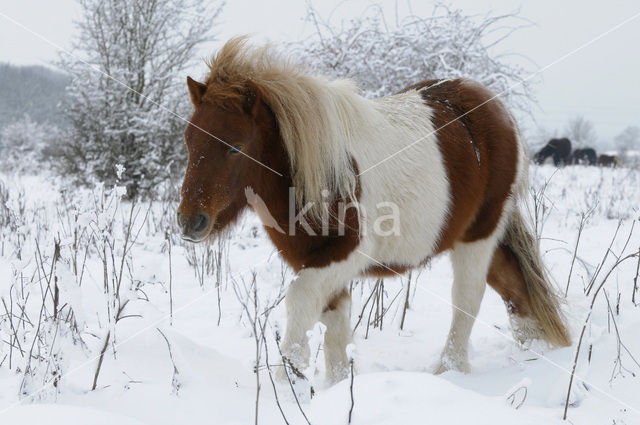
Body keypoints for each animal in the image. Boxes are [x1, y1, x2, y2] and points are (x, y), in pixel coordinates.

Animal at [175, 39, 568, 384]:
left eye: (235, 147)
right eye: (189, 140)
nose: (190, 221)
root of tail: (495, 108)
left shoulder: (346, 253)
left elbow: (300, 301)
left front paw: (289, 382)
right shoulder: (315, 261)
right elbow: (335, 329)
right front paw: (332, 390)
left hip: (478, 236)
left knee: (467, 300)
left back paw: (449, 371)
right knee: (512, 288)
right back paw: (534, 349)